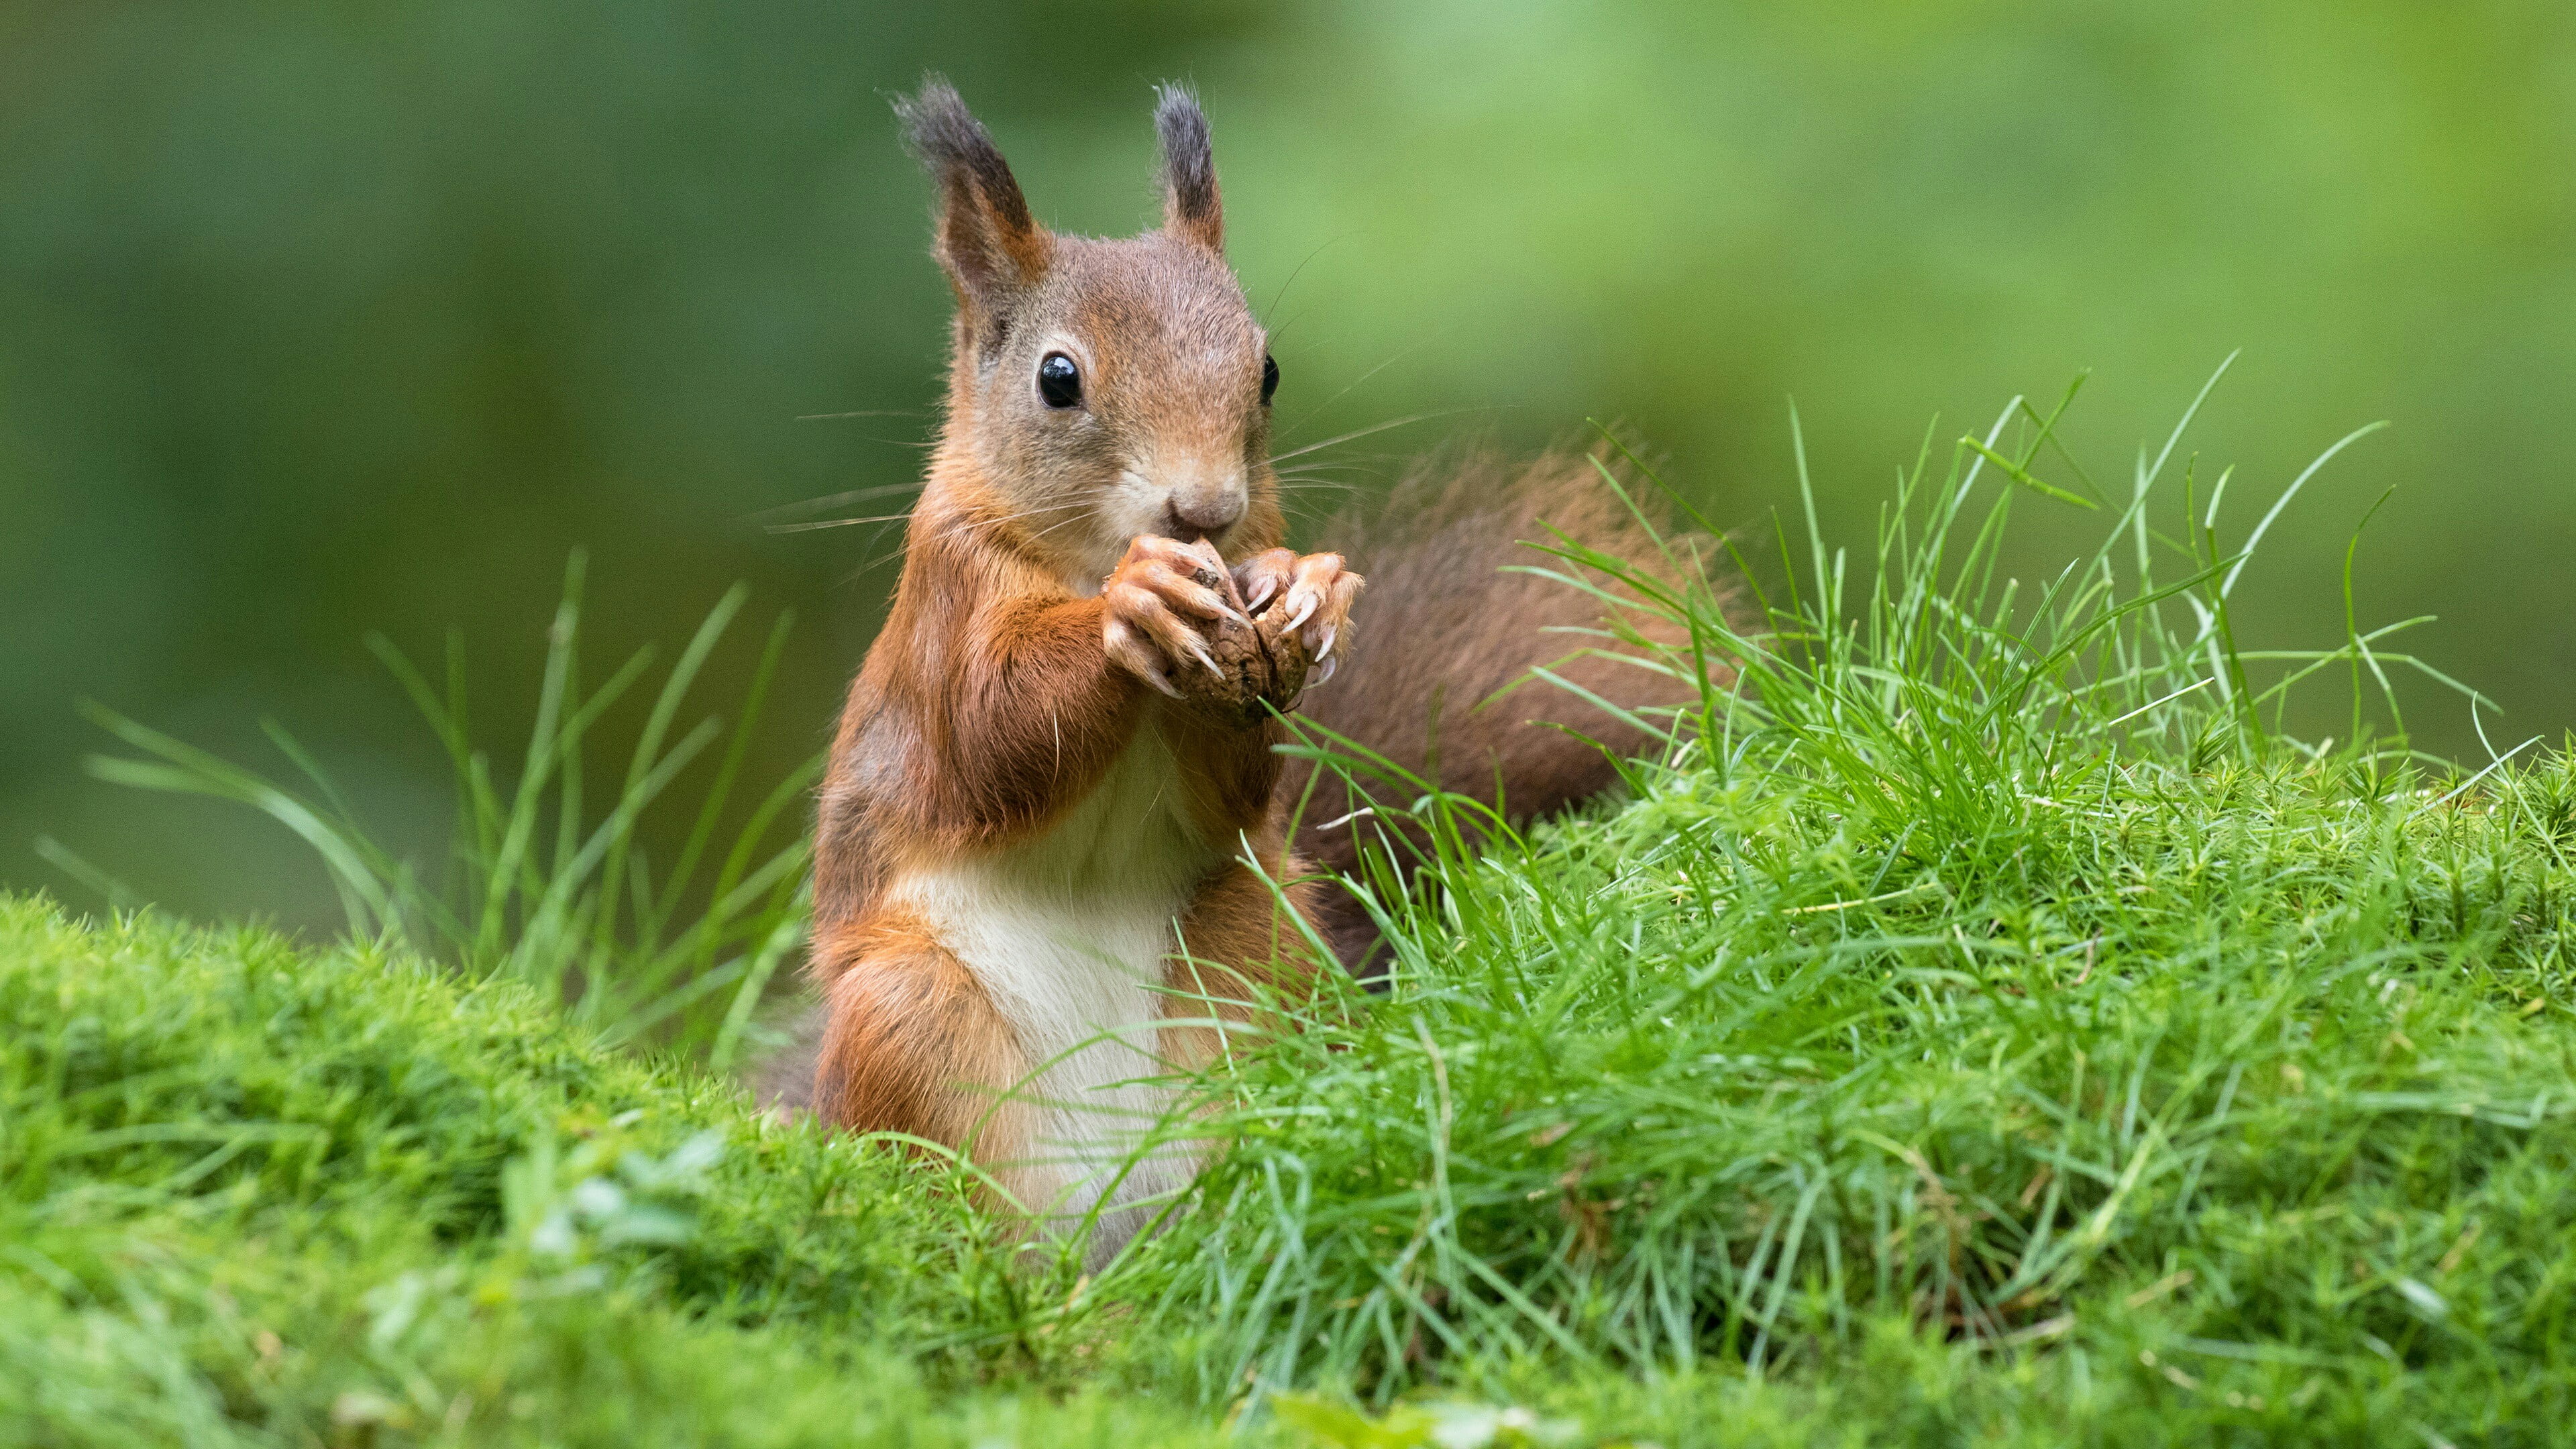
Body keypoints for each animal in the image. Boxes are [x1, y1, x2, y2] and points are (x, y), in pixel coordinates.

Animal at [784, 78, 1714, 1267]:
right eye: (1056, 379)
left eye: (1267, 369)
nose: (1207, 510)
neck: (1085, 560)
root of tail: (1108, 1221)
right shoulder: (944, 613)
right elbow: (991, 741)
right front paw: (1132, 607)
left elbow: (1234, 787)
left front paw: (1307, 587)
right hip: (907, 1019)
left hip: (1256, 966)